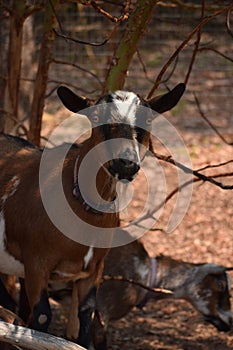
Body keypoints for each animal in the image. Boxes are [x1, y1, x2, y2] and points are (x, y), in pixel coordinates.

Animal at [0, 83, 186, 348]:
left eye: (148, 119)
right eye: (96, 118)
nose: (125, 163)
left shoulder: (93, 270)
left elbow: (85, 317)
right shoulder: (36, 263)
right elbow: (42, 317)